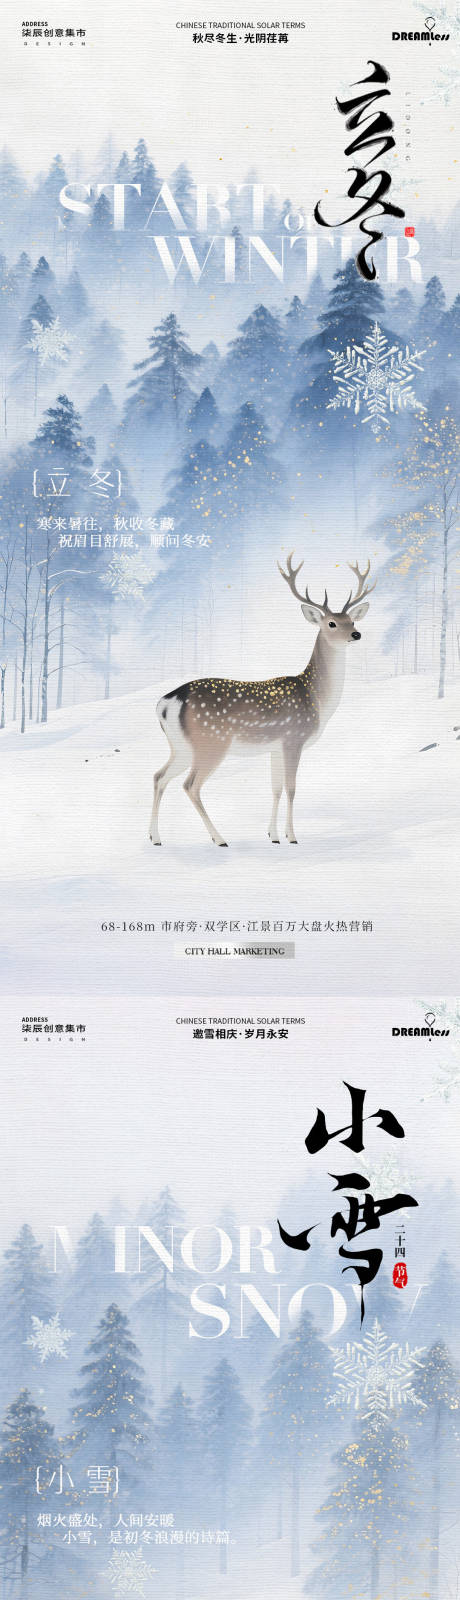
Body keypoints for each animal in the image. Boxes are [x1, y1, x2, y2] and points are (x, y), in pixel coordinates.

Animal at [149, 555, 375, 847]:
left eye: (352, 621)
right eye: (332, 623)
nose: (356, 635)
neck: (316, 698)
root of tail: (167, 702)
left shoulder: (275, 747)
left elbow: (275, 788)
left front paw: (274, 835)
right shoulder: (293, 738)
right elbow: (291, 788)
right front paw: (292, 836)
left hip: (181, 746)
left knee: (159, 776)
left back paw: (155, 837)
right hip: (211, 741)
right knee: (190, 785)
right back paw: (219, 838)